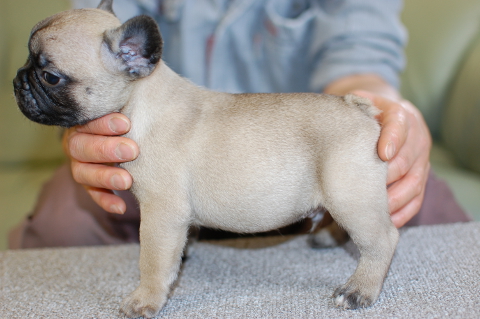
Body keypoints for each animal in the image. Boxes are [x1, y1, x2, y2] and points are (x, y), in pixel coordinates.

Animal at [13, 1, 400, 318]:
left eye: (50, 76)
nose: (18, 80)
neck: (140, 102)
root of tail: (358, 108)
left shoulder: (160, 213)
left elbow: (152, 261)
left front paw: (145, 299)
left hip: (349, 194)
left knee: (384, 239)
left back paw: (358, 289)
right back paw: (327, 238)